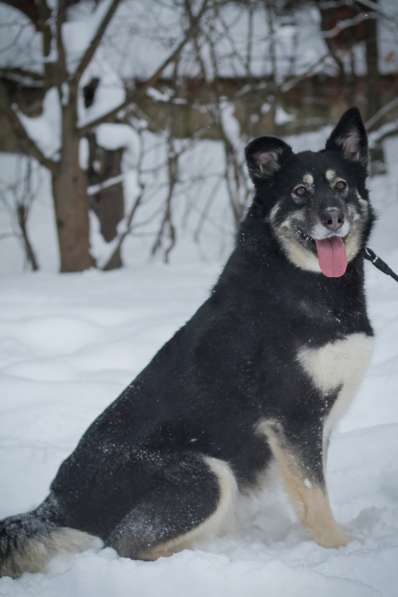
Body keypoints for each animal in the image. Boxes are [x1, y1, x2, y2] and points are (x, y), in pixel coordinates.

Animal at [0, 106, 374, 572]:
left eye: (341, 186)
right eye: (300, 192)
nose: (333, 217)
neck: (301, 278)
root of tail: (56, 506)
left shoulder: (316, 425)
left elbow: (312, 493)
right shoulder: (295, 418)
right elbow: (315, 498)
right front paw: (341, 552)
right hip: (207, 473)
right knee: (125, 545)